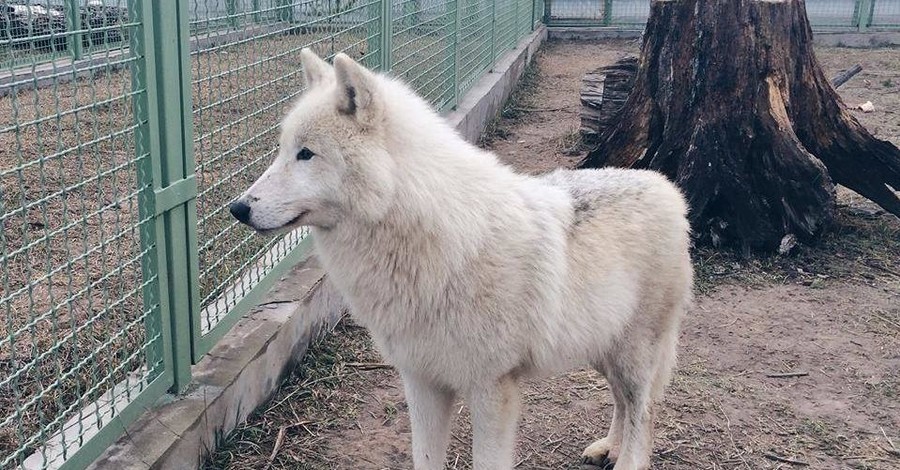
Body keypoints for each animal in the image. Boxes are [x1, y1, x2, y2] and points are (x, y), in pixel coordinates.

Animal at [229, 48, 692, 470]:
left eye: (306, 153)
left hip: (634, 354)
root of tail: (666, 187)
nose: (238, 208)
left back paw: (625, 457)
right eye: (283, 150)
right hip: (604, 349)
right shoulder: (421, 382)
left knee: (644, 414)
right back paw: (607, 448)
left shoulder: (492, 389)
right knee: (624, 403)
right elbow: (425, 458)